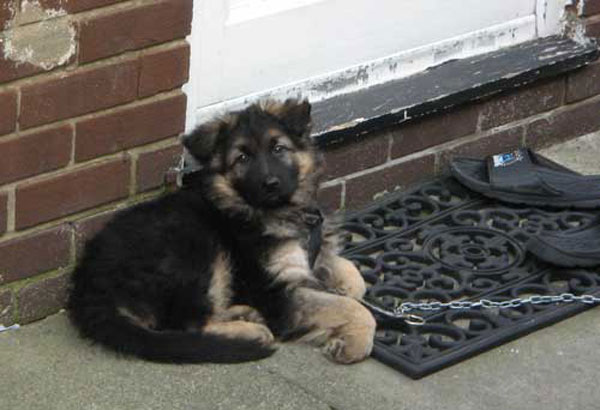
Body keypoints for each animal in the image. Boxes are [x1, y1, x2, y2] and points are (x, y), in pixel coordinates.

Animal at [67, 99, 376, 362]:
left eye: (278, 149)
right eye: (242, 158)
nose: (271, 184)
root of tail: (89, 287)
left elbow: (351, 276)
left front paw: (346, 285)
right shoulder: (276, 293)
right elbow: (353, 308)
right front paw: (355, 343)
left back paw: (245, 314)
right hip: (197, 249)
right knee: (187, 324)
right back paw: (251, 332)